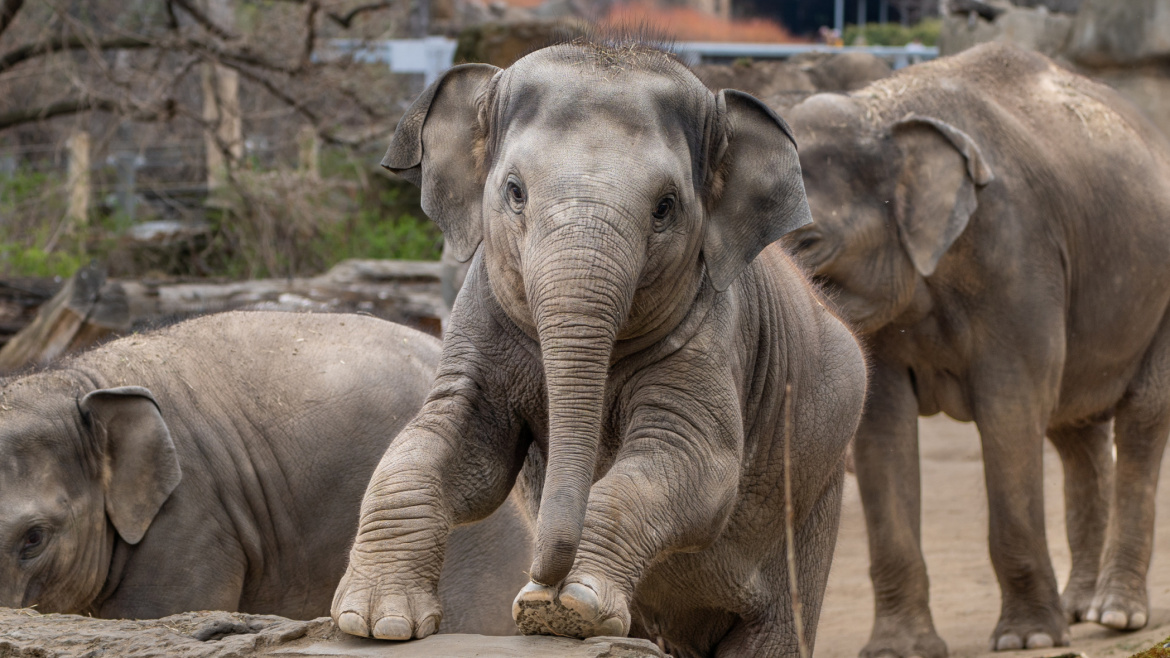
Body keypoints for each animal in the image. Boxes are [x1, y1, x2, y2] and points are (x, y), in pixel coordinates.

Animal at [781, 43, 1170, 650]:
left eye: (809, 241)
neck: (882, 111)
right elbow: (882, 425)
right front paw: (899, 652)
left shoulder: (1015, 251)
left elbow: (1009, 408)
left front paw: (1028, 641)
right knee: (1075, 434)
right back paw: (1079, 609)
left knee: (1140, 419)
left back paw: (1114, 616)